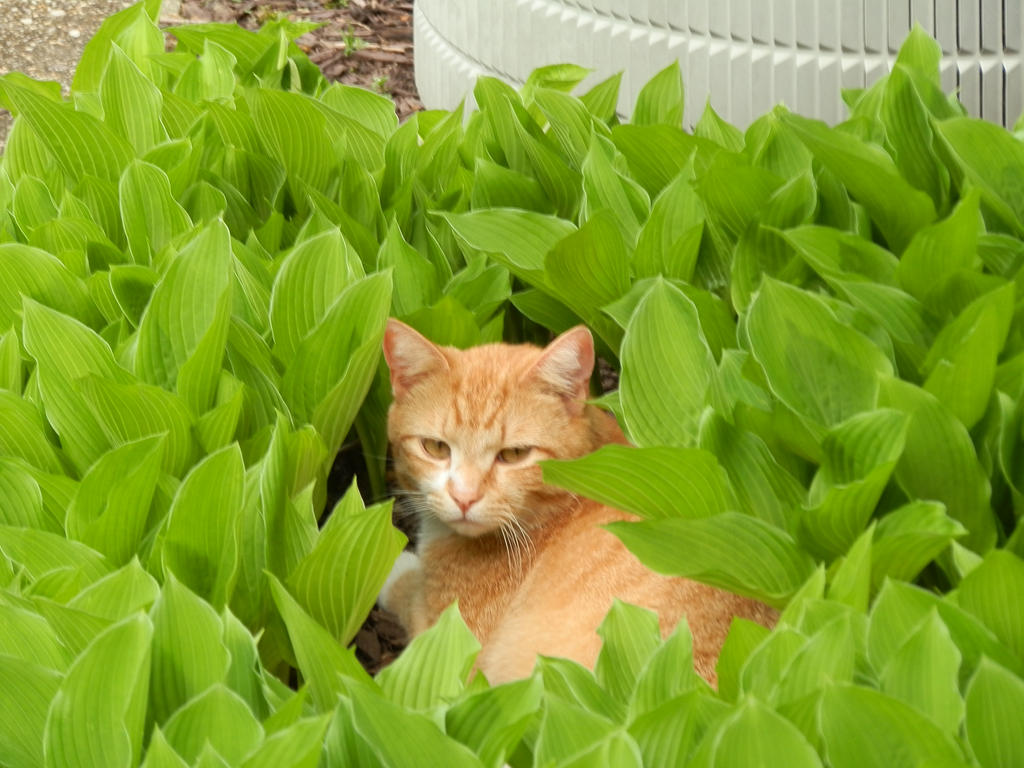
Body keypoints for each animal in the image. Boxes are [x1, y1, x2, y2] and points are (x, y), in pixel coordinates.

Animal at [378, 319, 774, 684]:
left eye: (514, 454)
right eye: (436, 448)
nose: (464, 497)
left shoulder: (448, 646)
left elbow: (406, 588)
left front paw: (395, 562)